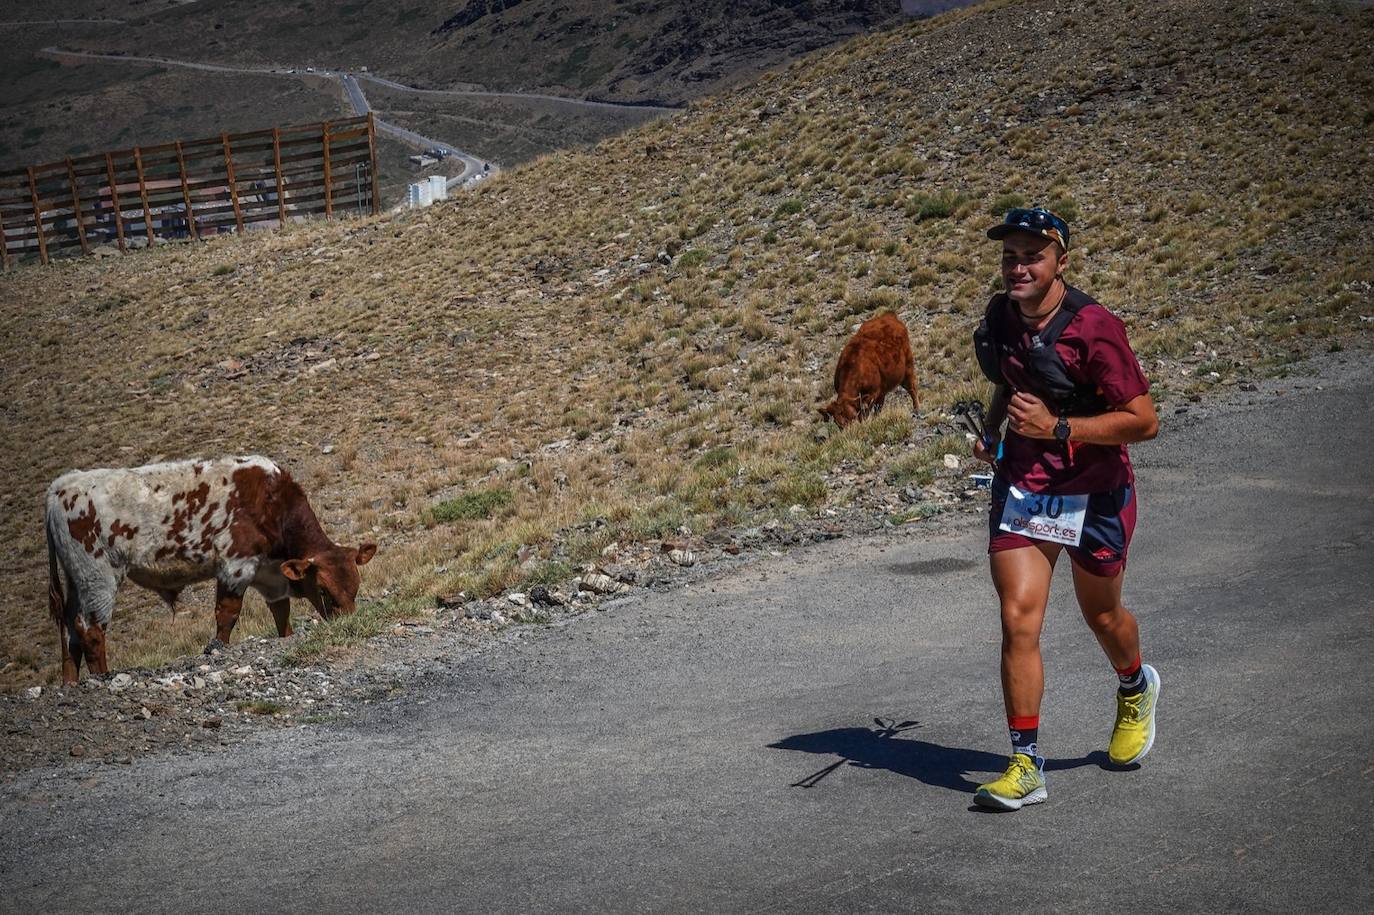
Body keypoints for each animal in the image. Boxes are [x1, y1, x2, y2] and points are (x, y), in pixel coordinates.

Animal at [46, 453, 376, 681]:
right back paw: (102, 676)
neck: (270, 500)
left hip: (77, 581)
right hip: (98, 577)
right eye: (323, 589)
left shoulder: (270, 576)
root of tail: (61, 486)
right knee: (90, 630)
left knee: (69, 633)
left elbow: (281, 614)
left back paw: (70, 683)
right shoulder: (236, 566)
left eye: (356, 588)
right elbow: (227, 615)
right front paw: (218, 648)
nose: (349, 623)